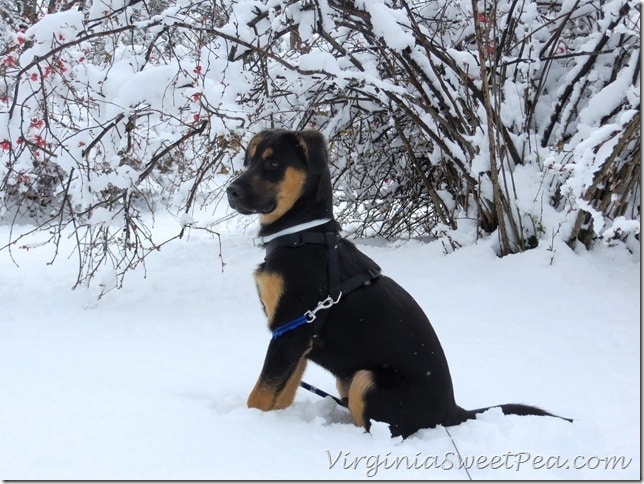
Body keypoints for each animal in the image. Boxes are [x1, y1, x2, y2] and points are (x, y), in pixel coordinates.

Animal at [228, 129, 568, 438]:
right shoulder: (295, 339)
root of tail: (452, 411)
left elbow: (260, 395)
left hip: (365, 380)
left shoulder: (293, 329)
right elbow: (280, 394)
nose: (231, 191)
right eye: (250, 161)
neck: (301, 235)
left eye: (273, 163)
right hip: (349, 378)